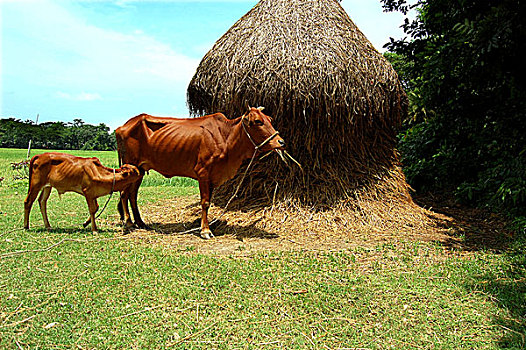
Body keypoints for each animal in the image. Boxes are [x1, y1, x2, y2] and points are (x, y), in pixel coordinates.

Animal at [117, 106, 286, 238]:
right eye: (258, 121)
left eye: (270, 119)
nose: (281, 142)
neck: (226, 137)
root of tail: (122, 127)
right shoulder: (203, 173)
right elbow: (205, 202)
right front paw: (205, 230)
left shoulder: (212, 177)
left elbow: (208, 202)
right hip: (130, 166)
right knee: (125, 194)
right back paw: (129, 222)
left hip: (140, 170)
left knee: (132, 195)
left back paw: (140, 222)